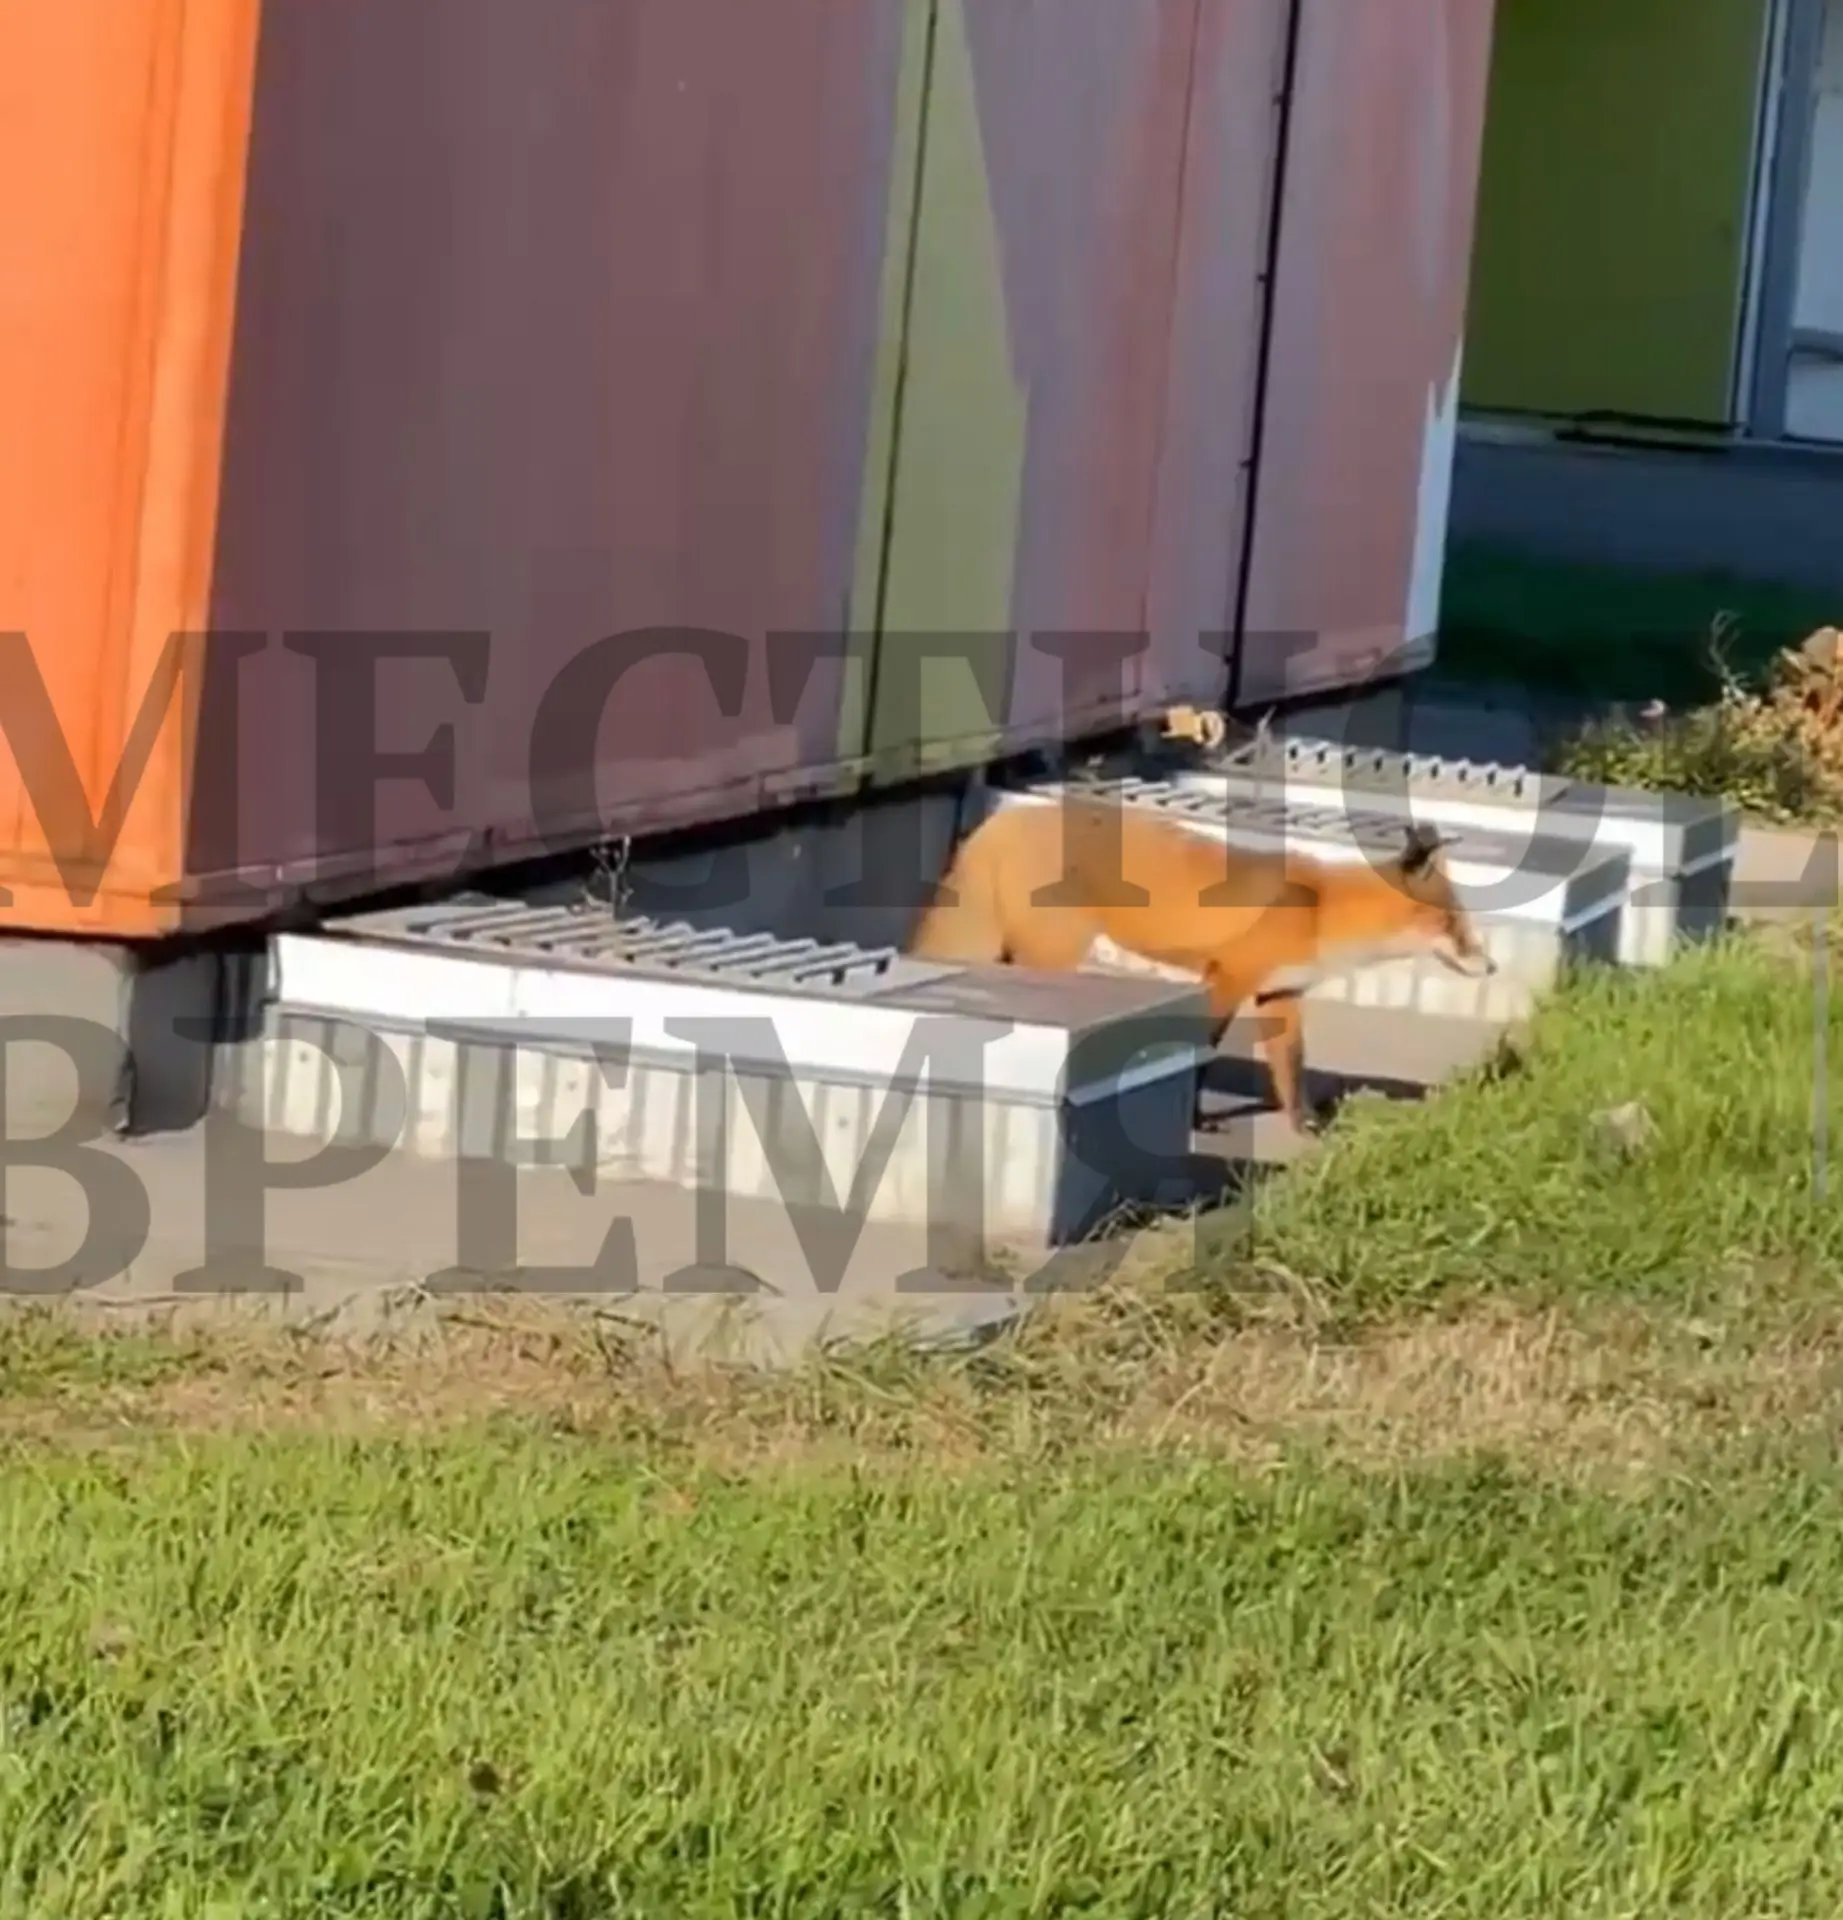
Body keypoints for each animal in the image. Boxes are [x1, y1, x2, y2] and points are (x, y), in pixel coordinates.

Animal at [908, 797, 1495, 1133]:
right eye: (1452, 923)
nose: (1489, 967)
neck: (1320, 911)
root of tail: (998, 819)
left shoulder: (1279, 996)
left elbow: (1291, 1068)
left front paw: (1303, 1125)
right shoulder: (1225, 980)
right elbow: (1201, 1054)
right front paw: (1194, 1118)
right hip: (1054, 953)